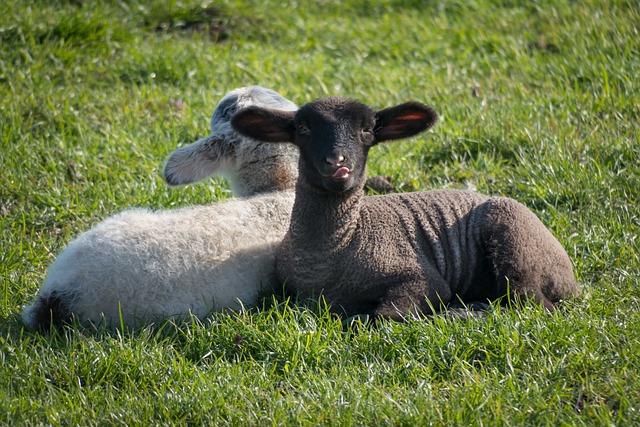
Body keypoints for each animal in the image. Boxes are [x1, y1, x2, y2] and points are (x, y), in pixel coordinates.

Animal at [232, 95, 584, 320]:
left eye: (367, 131)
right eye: (303, 129)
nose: (337, 163)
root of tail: (571, 278)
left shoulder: (423, 280)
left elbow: (381, 317)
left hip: (516, 240)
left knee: (531, 302)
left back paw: (465, 312)